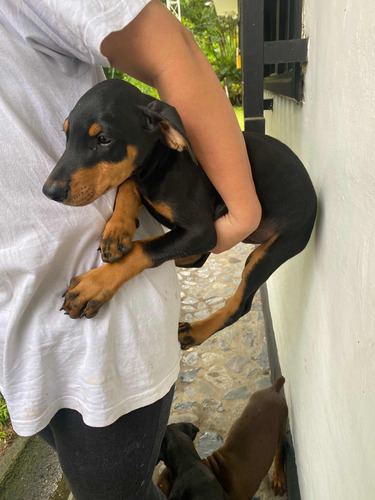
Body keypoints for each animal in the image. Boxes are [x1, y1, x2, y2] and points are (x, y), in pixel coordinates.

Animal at [43, 80, 318, 350]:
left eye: (104, 139)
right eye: (66, 135)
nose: (49, 191)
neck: (162, 163)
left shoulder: (202, 231)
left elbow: (144, 248)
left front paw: (94, 285)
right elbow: (129, 185)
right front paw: (117, 229)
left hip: (273, 250)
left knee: (237, 304)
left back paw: (194, 332)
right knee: (197, 259)